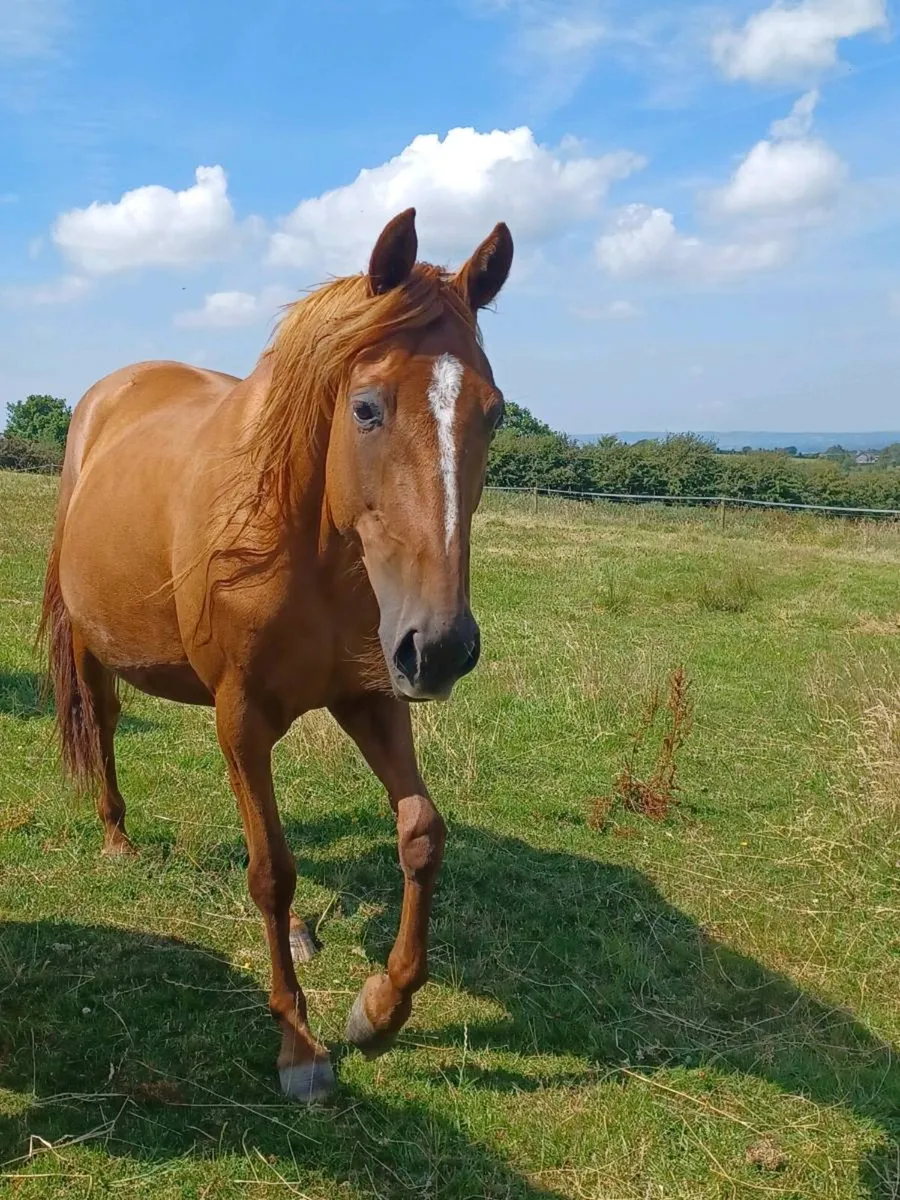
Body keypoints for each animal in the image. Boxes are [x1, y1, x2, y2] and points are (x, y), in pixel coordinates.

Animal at [38, 208, 513, 1103]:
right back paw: (117, 837)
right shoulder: (244, 714)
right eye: (366, 407)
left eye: (494, 413)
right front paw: (299, 1044)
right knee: (106, 725)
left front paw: (378, 1011)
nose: (442, 647)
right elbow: (271, 870)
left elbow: (421, 833)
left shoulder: (371, 694)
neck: (308, 542)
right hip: (94, 647)